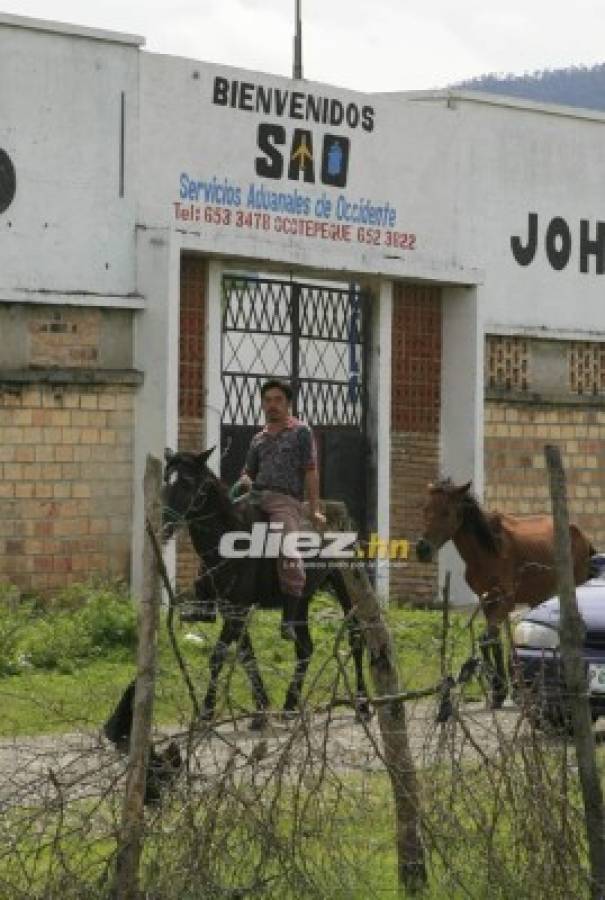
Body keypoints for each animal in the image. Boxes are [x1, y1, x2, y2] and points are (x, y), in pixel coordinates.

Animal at [160, 446, 368, 728]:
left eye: (187, 482)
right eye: (166, 480)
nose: (165, 526)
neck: (230, 539)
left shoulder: (238, 610)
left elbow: (218, 656)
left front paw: (206, 713)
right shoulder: (231, 610)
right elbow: (246, 656)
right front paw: (260, 710)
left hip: (346, 588)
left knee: (356, 637)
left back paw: (363, 705)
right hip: (301, 601)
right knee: (304, 647)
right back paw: (290, 706)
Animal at [416, 482, 596, 708]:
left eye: (446, 512)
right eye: (424, 509)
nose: (422, 549)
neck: (488, 550)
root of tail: (581, 535)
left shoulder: (505, 600)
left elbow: (487, 638)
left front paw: (499, 688)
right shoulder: (487, 601)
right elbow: (492, 640)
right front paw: (499, 690)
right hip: (539, 598)